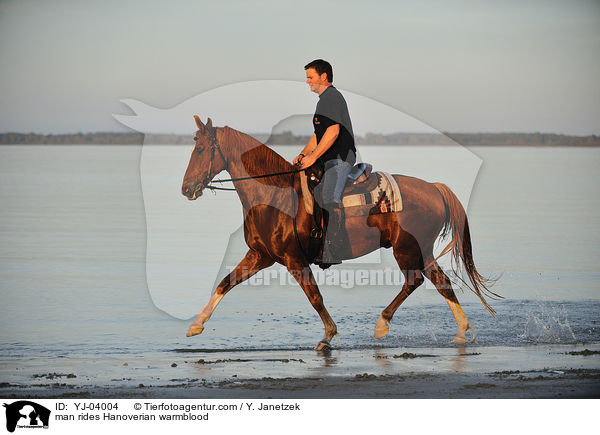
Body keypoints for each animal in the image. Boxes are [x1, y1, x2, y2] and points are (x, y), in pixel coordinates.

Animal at [182, 115, 496, 350]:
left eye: (201, 149)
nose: (186, 188)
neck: (274, 197)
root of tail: (433, 187)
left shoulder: (294, 260)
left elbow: (315, 297)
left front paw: (328, 335)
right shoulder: (261, 255)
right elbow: (226, 282)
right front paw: (197, 323)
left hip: (405, 248)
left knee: (414, 280)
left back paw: (382, 325)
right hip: (423, 248)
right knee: (441, 281)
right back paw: (461, 332)